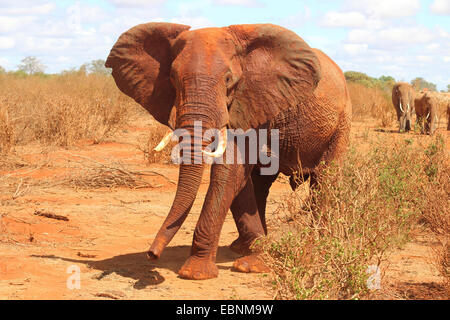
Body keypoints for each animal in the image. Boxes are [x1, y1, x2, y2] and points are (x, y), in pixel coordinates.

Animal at [105, 22, 352, 278]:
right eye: (172, 77)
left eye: (228, 79)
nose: (151, 254)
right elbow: (237, 176)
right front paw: (256, 256)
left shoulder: (253, 98)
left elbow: (230, 169)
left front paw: (197, 272)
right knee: (261, 183)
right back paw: (241, 248)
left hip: (342, 123)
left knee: (325, 180)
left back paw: (318, 246)